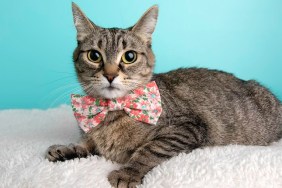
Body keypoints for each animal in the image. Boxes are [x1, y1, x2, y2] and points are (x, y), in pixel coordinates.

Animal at [45, 2, 282, 188]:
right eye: (94, 55)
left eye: (129, 56)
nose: (110, 75)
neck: (111, 112)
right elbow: (86, 144)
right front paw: (68, 149)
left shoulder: (186, 127)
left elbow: (150, 149)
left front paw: (128, 172)